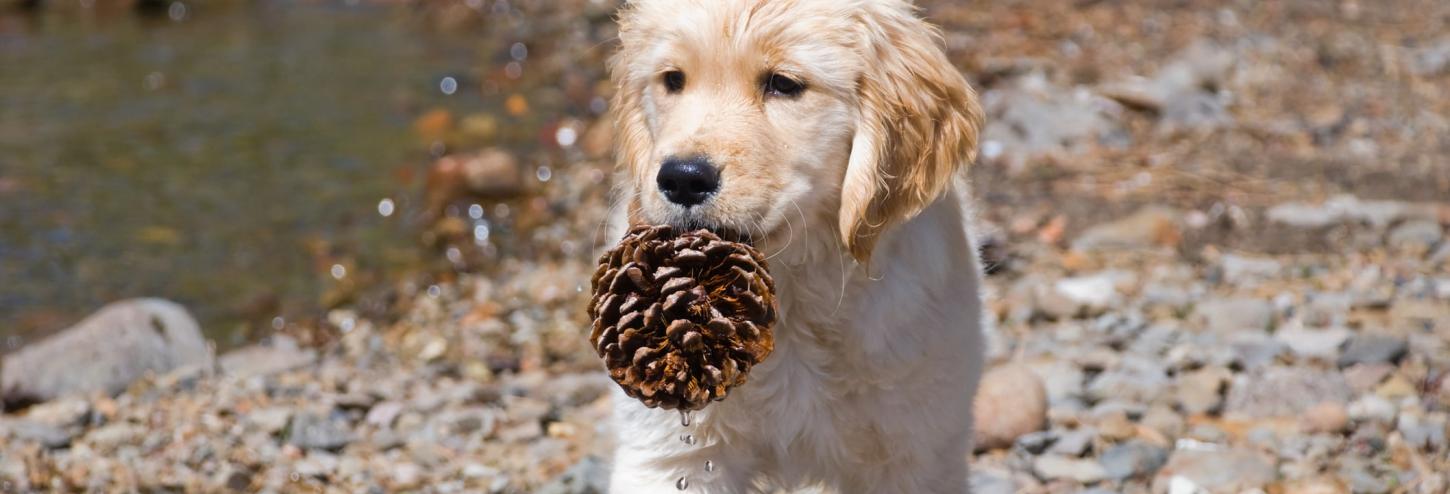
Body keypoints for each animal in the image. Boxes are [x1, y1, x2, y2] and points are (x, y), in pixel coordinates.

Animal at [600, 0, 986, 489]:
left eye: (783, 84)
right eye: (673, 79)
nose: (682, 179)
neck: (790, 294)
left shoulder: (917, 448)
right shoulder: (672, 453)